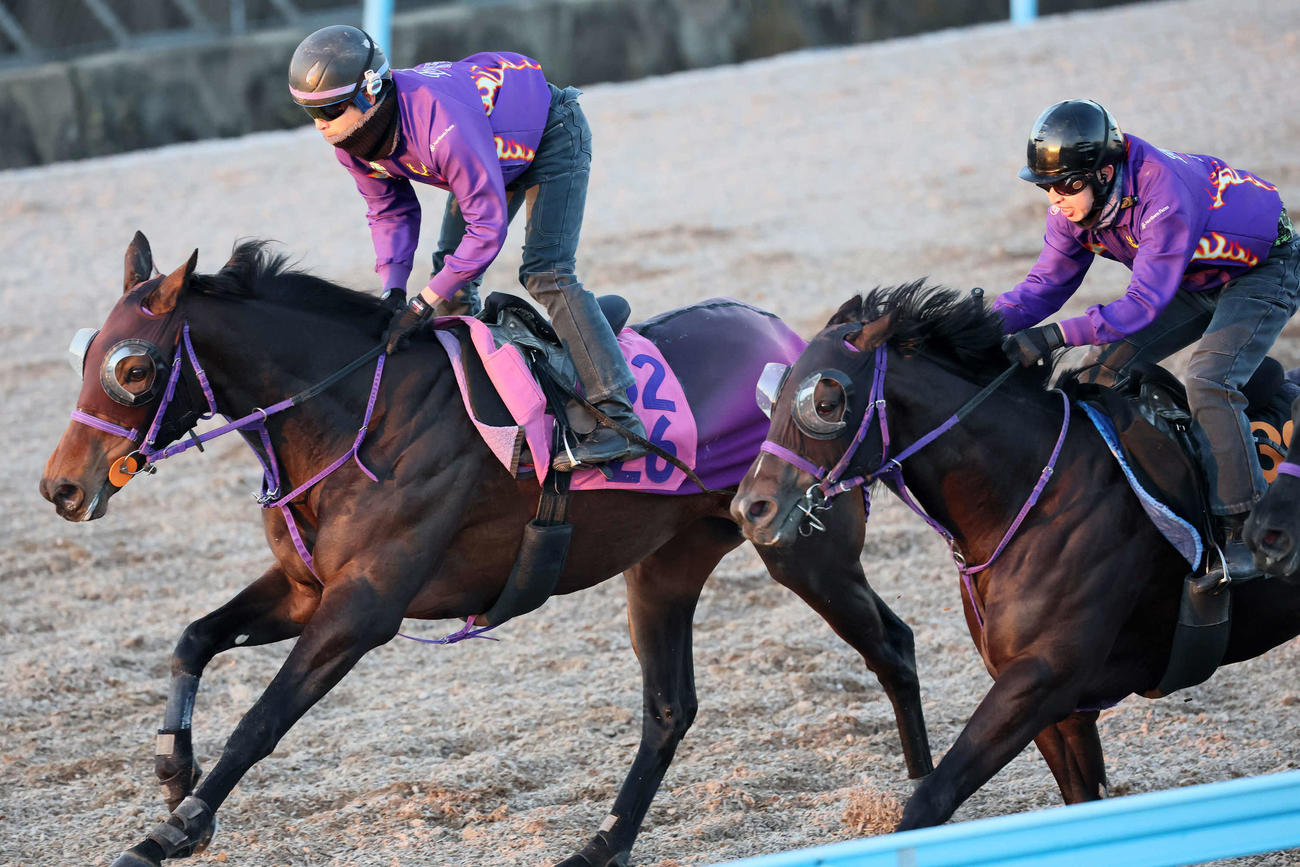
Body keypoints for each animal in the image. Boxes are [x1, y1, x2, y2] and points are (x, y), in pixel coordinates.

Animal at [39, 233, 933, 867]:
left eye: (133, 368)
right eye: (85, 353)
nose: (61, 487)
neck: (358, 411)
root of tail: (797, 346)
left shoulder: (364, 607)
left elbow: (263, 719)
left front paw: (168, 832)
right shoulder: (304, 587)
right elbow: (193, 638)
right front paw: (173, 774)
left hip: (801, 548)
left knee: (893, 643)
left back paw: (924, 796)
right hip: (665, 566)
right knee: (670, 707)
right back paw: (600, 844)